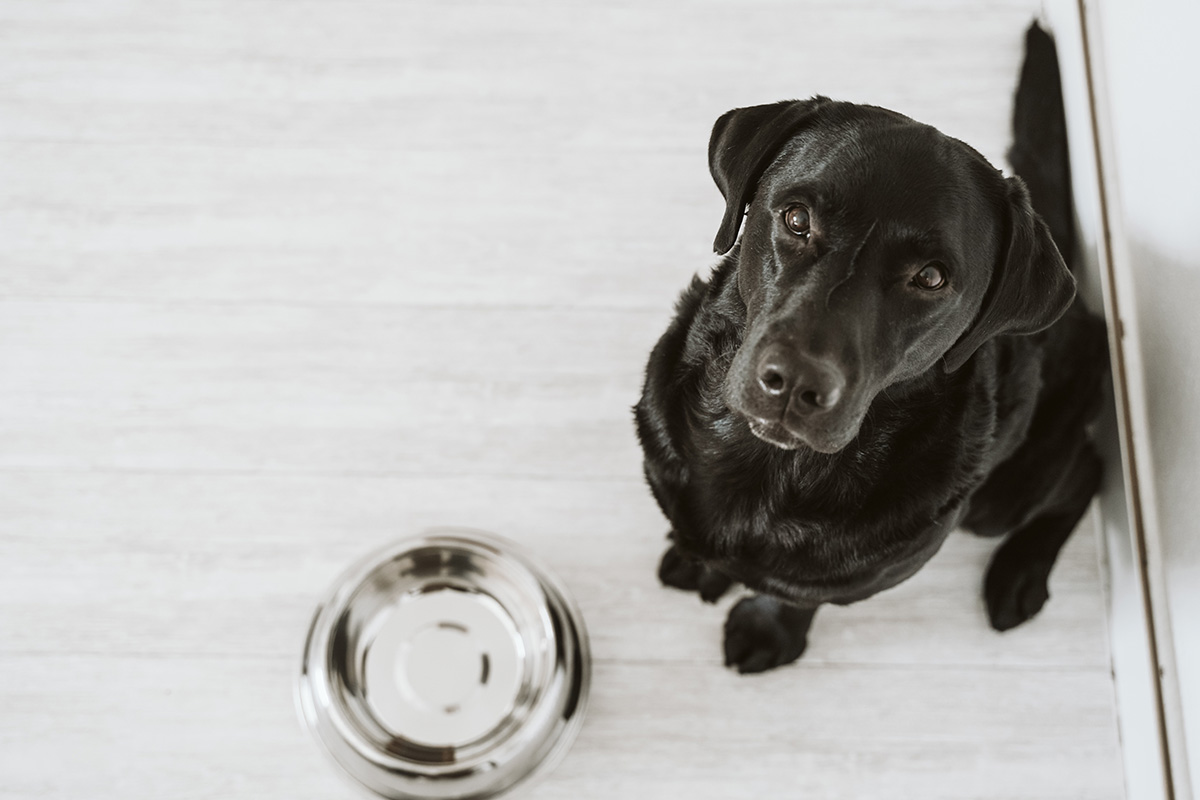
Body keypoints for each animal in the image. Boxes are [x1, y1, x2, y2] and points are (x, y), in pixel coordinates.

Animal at [633, 25, 1108, 671]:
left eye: (931, 278)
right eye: (796, 218)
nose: (795, 382)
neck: (773, 468)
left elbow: (796, 595)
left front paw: (767, 629)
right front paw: (698, 561)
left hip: (1000, 500)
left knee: (1088, 467)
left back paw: (1019, 572)